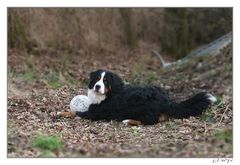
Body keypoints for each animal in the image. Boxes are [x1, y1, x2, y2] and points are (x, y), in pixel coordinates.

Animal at [59, 69, 216, 125]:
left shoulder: (93, 113)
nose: (97, 86)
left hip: (140, 106)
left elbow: (76, 112)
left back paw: (128, 121)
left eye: (106, 81)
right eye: (97, 79)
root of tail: (166, 99)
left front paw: (61, 113)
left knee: (150, 121)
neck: (108, 94)